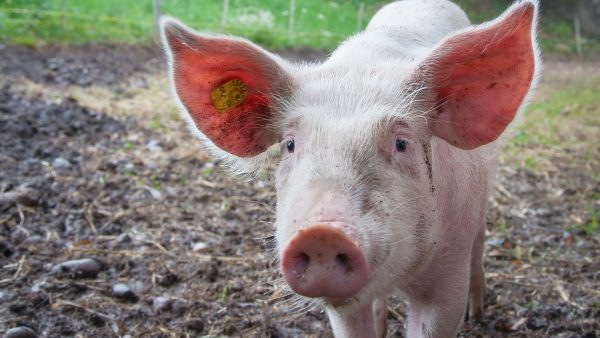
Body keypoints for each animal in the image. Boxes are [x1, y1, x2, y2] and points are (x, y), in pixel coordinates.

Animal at [158, 0, 540, 336]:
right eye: (290, 144)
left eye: (402, 143)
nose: (322, 234)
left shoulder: (447, 279)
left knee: (480, 242)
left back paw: (478, 315)